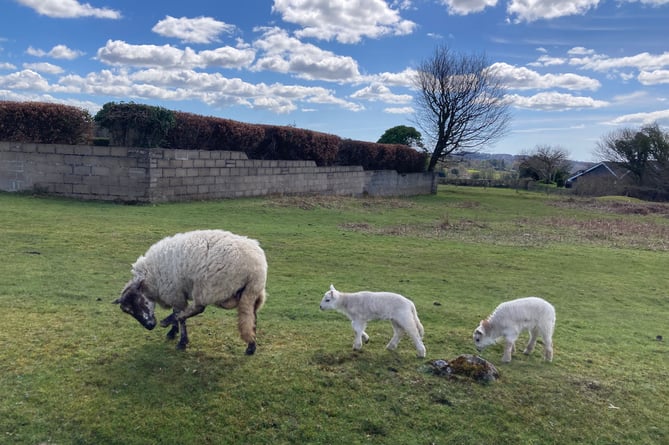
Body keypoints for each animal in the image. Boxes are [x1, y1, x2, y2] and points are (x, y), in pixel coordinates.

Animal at [113, 229, 266, 354]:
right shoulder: (175, 292)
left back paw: (168, 321)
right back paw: (251, 346)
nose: (150, 326)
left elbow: (178, 312)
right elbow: (176, 310)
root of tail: (256, 269)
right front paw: (173, 331)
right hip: (252, 292)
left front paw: (180, 338)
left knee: (198, 308)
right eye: (128, 311)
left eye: (139, 302)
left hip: (209, 286)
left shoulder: (173, 292)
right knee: (251, 316)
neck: (150, 280)